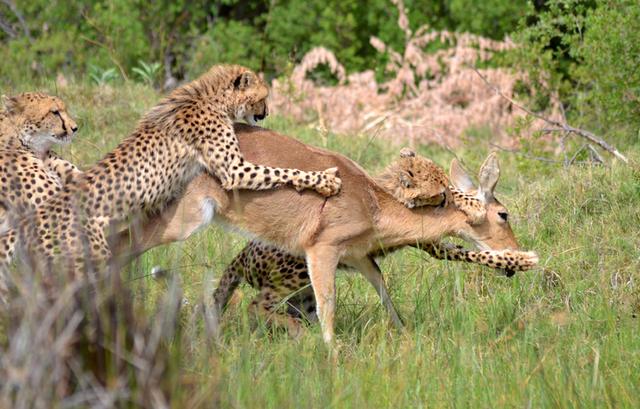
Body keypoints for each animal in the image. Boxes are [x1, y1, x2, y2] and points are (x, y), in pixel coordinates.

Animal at [3, 64, 340, 274]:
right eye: (264, 97)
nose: (265, 113)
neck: (209, 95)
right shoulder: (235, 170)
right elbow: (281, 171)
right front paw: (324, 180)